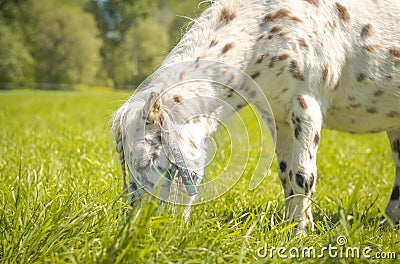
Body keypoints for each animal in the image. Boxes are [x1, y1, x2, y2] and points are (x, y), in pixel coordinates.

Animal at [111, 0, 400, 231]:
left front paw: (301, 233)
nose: (147, 228)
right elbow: (286, 174)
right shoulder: (280, 118)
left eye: (160, 165)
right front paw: (288, 228)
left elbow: (302, 175)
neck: (268, 30)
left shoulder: (306, 105)